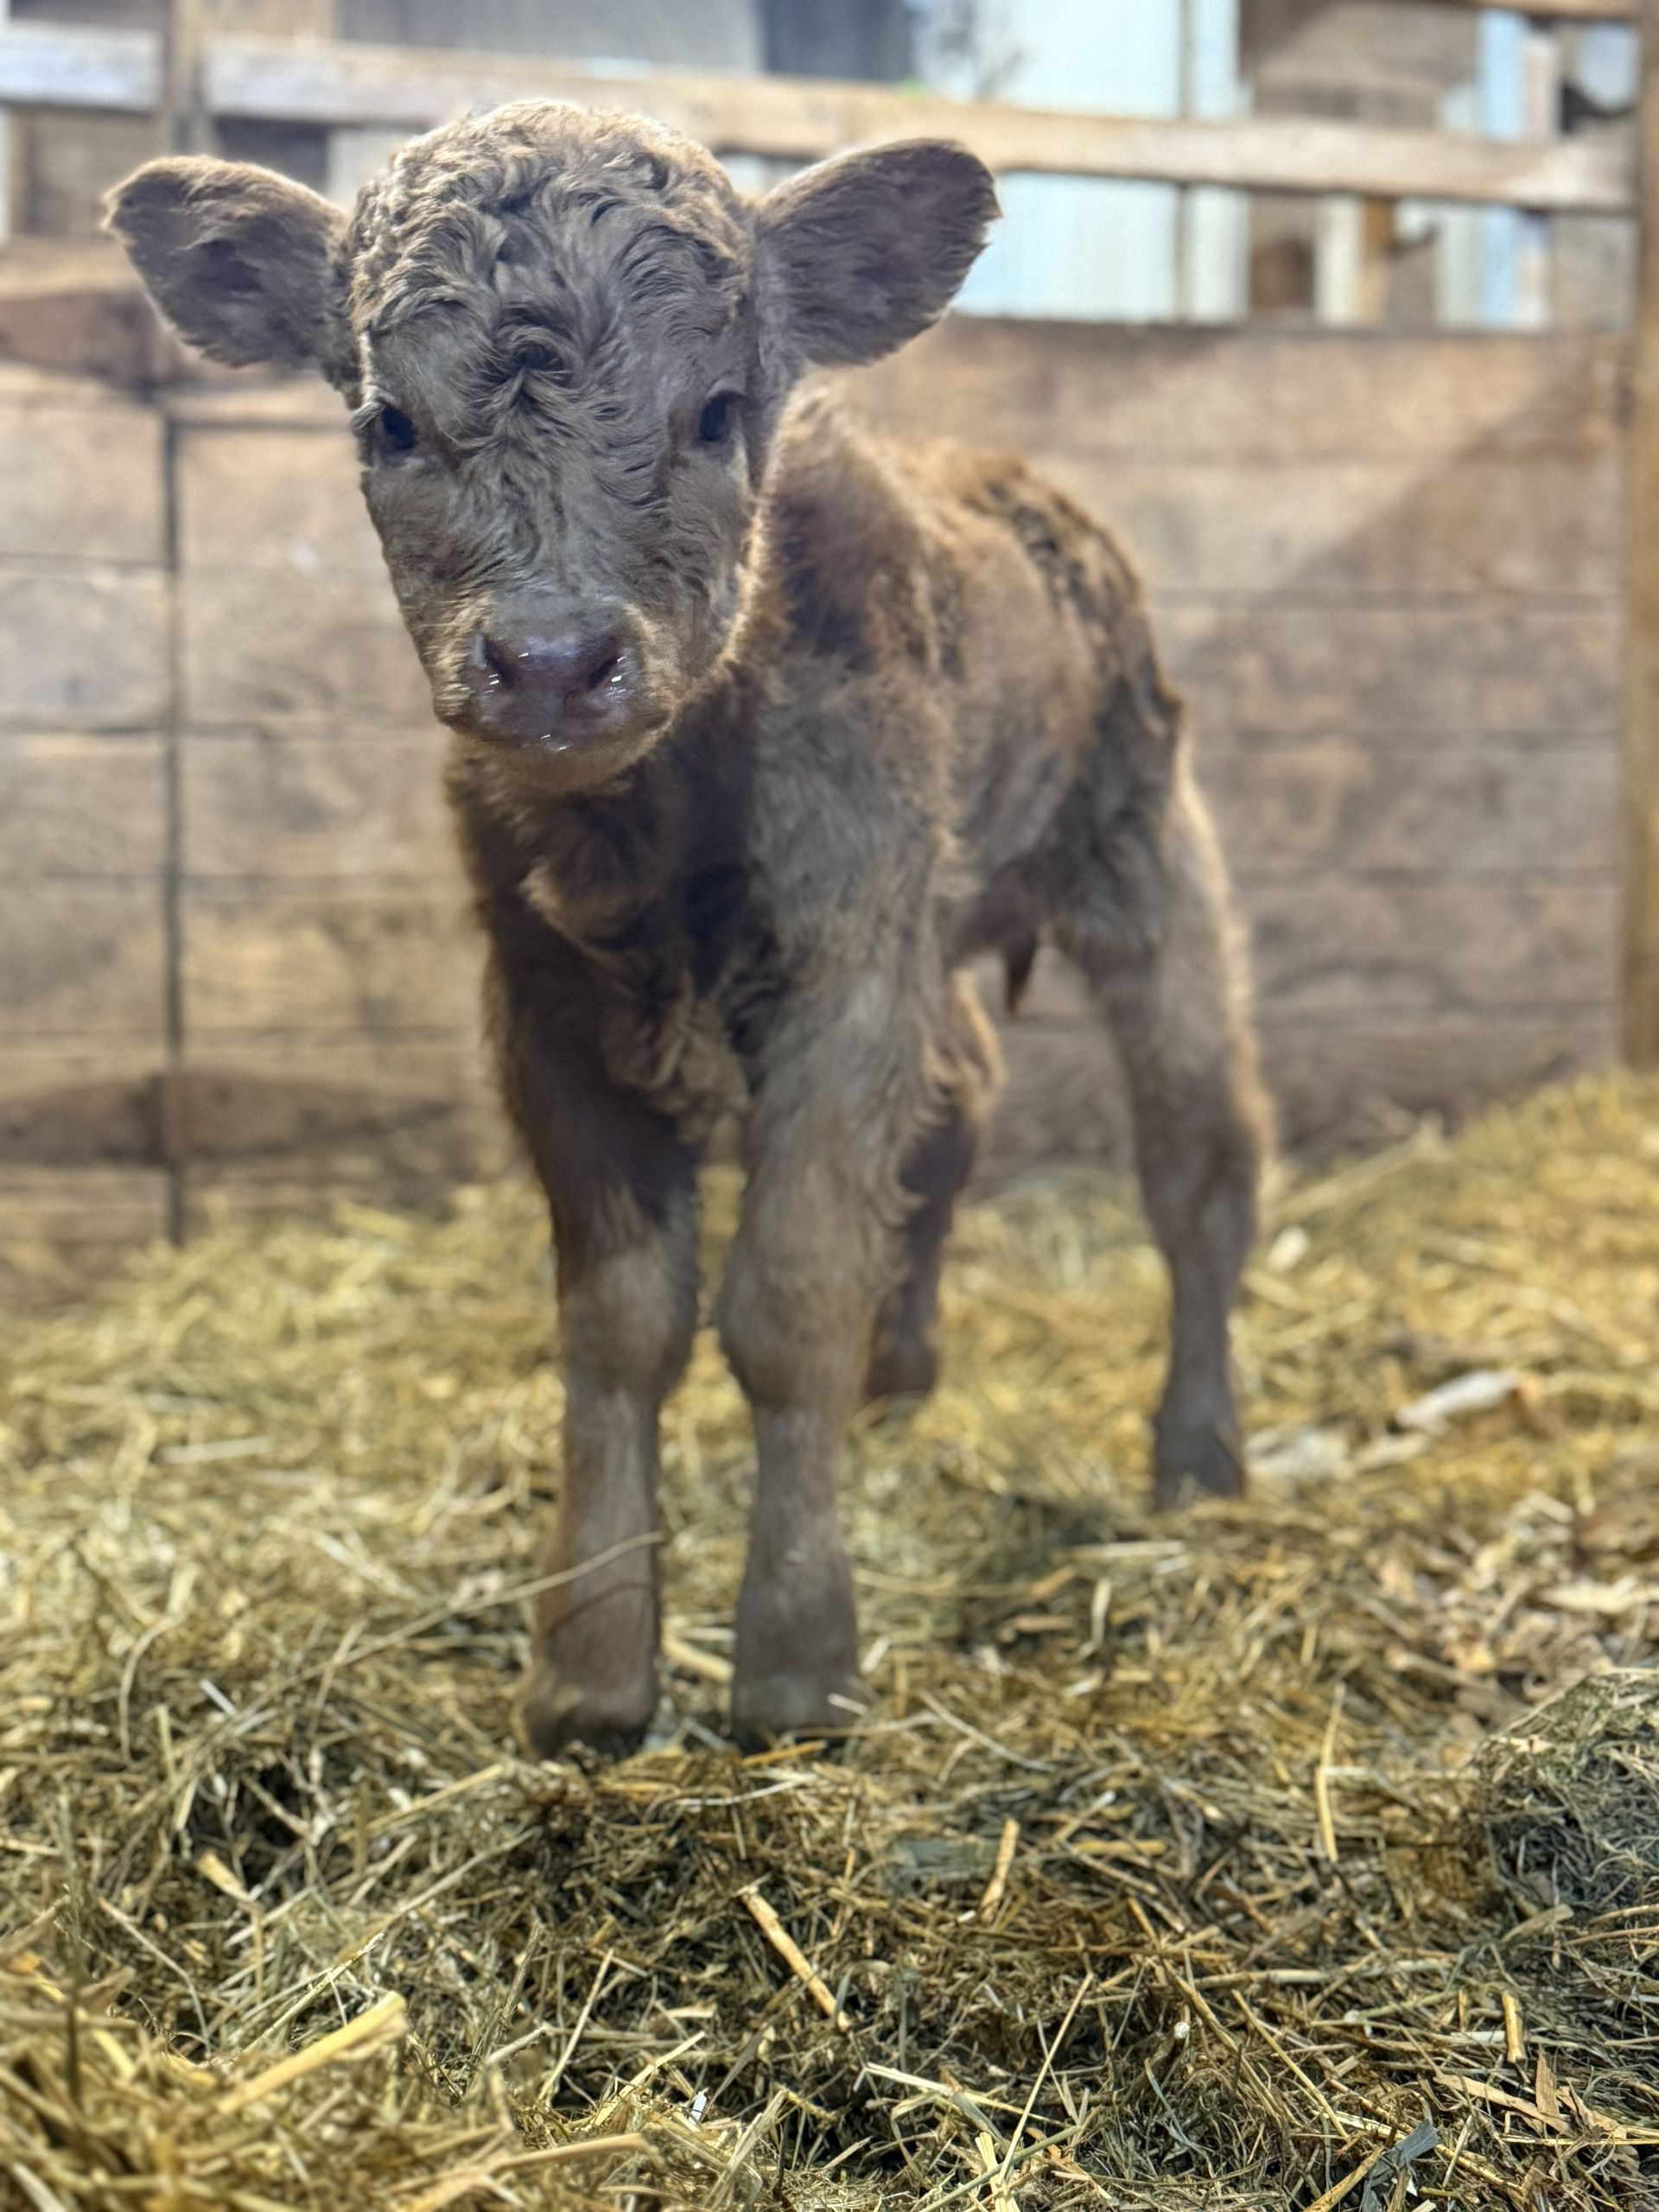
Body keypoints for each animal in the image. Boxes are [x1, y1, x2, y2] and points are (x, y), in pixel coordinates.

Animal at [107, 102, 1268, 1758]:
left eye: (717, 414)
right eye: (389, 424)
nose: (551, 659)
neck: (650, 845)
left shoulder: (844, 972)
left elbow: (784, 1299)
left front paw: (794, 1662)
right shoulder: (540, 1006)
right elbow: (618, 1323)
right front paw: (587, 1669)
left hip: (1140, 845)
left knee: (1199, 1161)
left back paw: (1199, 1454)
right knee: (966, 1097)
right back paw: (904, 1374)